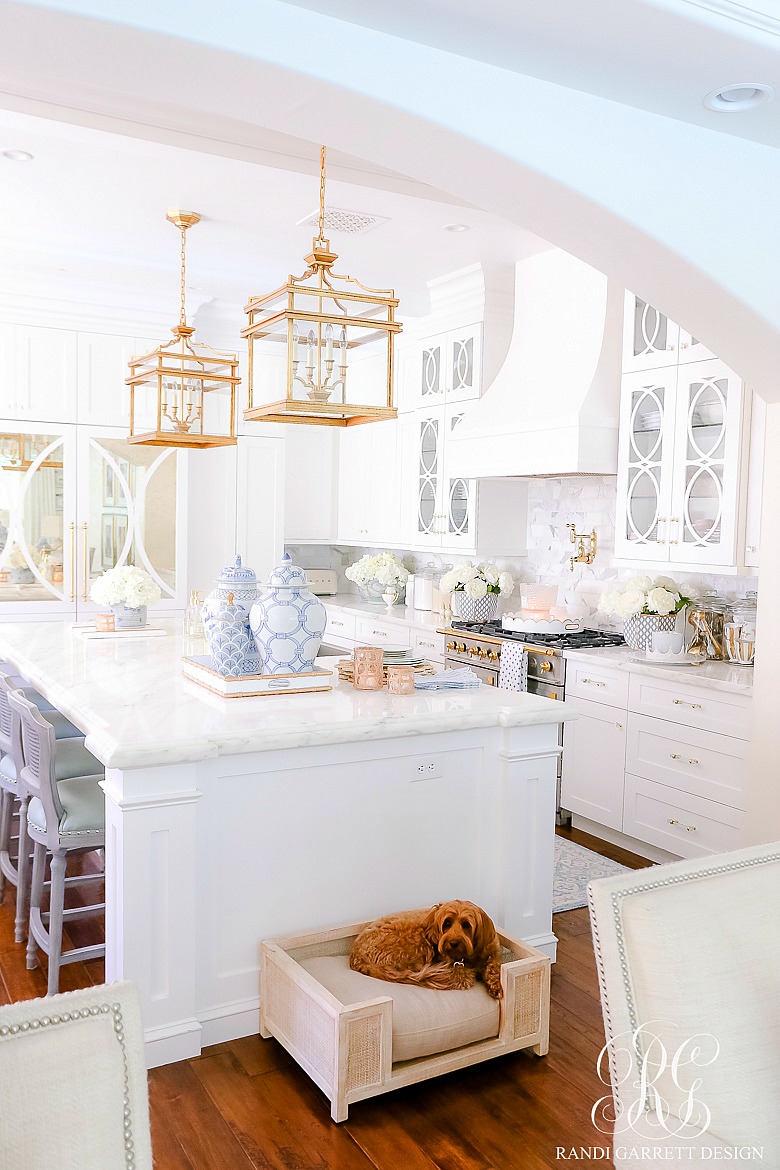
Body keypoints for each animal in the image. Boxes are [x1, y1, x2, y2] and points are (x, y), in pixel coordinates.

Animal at [348, 898, 507, 1001]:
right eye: (447, 923)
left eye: (466, 924)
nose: (453, 942)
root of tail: (356, 955)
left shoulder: (492, 951)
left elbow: (494, 965)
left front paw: (495, 985)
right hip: (419, 943)